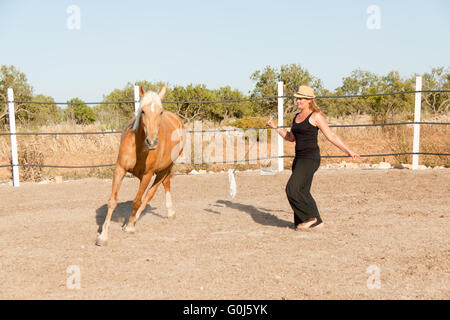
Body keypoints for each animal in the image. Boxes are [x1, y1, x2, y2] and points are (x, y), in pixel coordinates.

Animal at [96, 86, 185, 246]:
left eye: (160, 111)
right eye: (142, 111)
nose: (152, 142)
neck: (139, 147)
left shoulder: (147, 175)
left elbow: (137, 201)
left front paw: (130, 226)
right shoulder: (119, 169)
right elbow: (112, 201)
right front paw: (103, 236)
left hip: (165, 168)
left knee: (151, 193)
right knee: (165, 184)